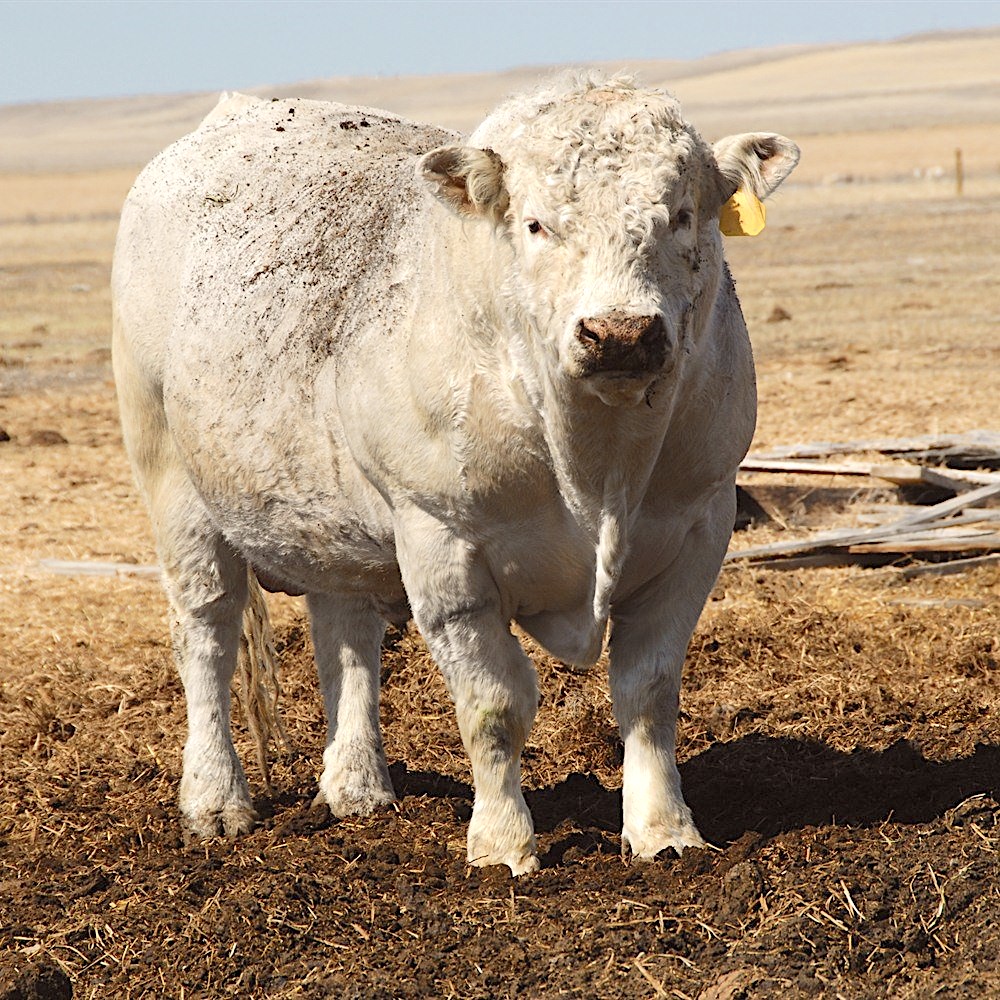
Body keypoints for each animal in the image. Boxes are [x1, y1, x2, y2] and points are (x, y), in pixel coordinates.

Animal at [111, 74, 796, 876]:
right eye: (535, 225)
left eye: (684, 215)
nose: (620, 334)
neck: (599, 466)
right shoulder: (442, 544)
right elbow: (494, 704)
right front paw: (502, 844)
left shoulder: (698, 527)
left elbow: (649, 690)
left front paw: (665, 833)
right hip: (172, 482)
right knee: (207, 633)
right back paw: (216, 799)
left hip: (329, 515)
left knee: (344, 630)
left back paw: (357, 786)